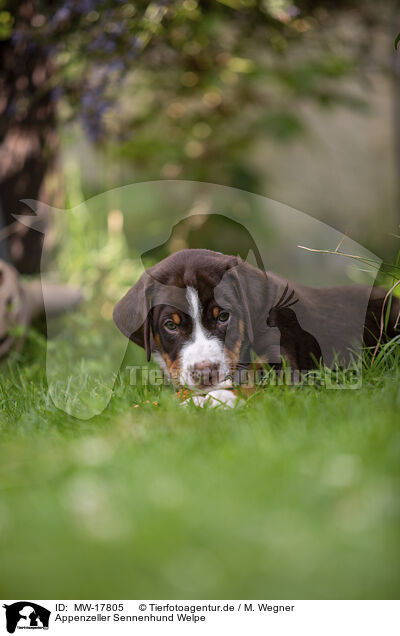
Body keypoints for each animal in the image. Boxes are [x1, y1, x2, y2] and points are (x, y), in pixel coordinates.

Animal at [112, 248, 400, 408]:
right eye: (170, 325)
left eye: (224, 316)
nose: (205, 372)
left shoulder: (287, 369)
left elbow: (252, 387)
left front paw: (217, 399)